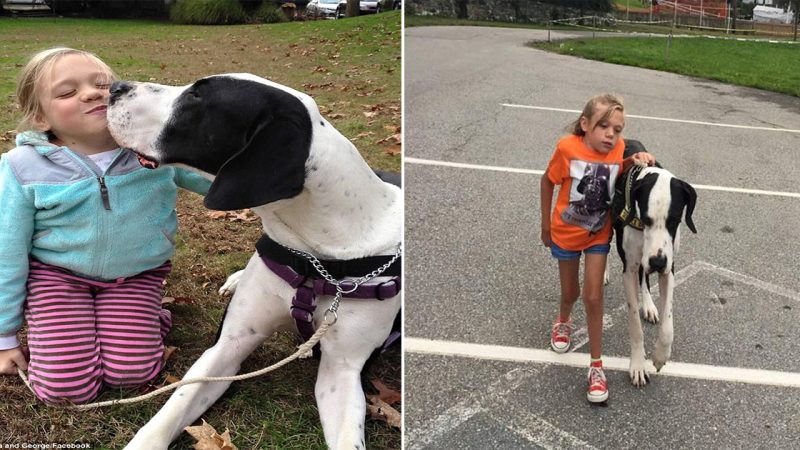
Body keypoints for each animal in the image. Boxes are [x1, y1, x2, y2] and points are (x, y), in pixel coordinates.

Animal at [106, 74, 404, 450]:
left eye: (196, 97)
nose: (114, 87)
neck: (315, 257)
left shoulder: (342, 371)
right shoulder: (227, 347)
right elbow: (173, 409)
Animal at [612, 141, 692, 386]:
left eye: (674, 221)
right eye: (646, 219)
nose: (657, 261)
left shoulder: (669, 269)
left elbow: (668, 324)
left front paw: (660, 356)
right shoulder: (628, 270)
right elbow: (635, 325)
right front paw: (638, 365)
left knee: (645, 278)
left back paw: (648, 304)